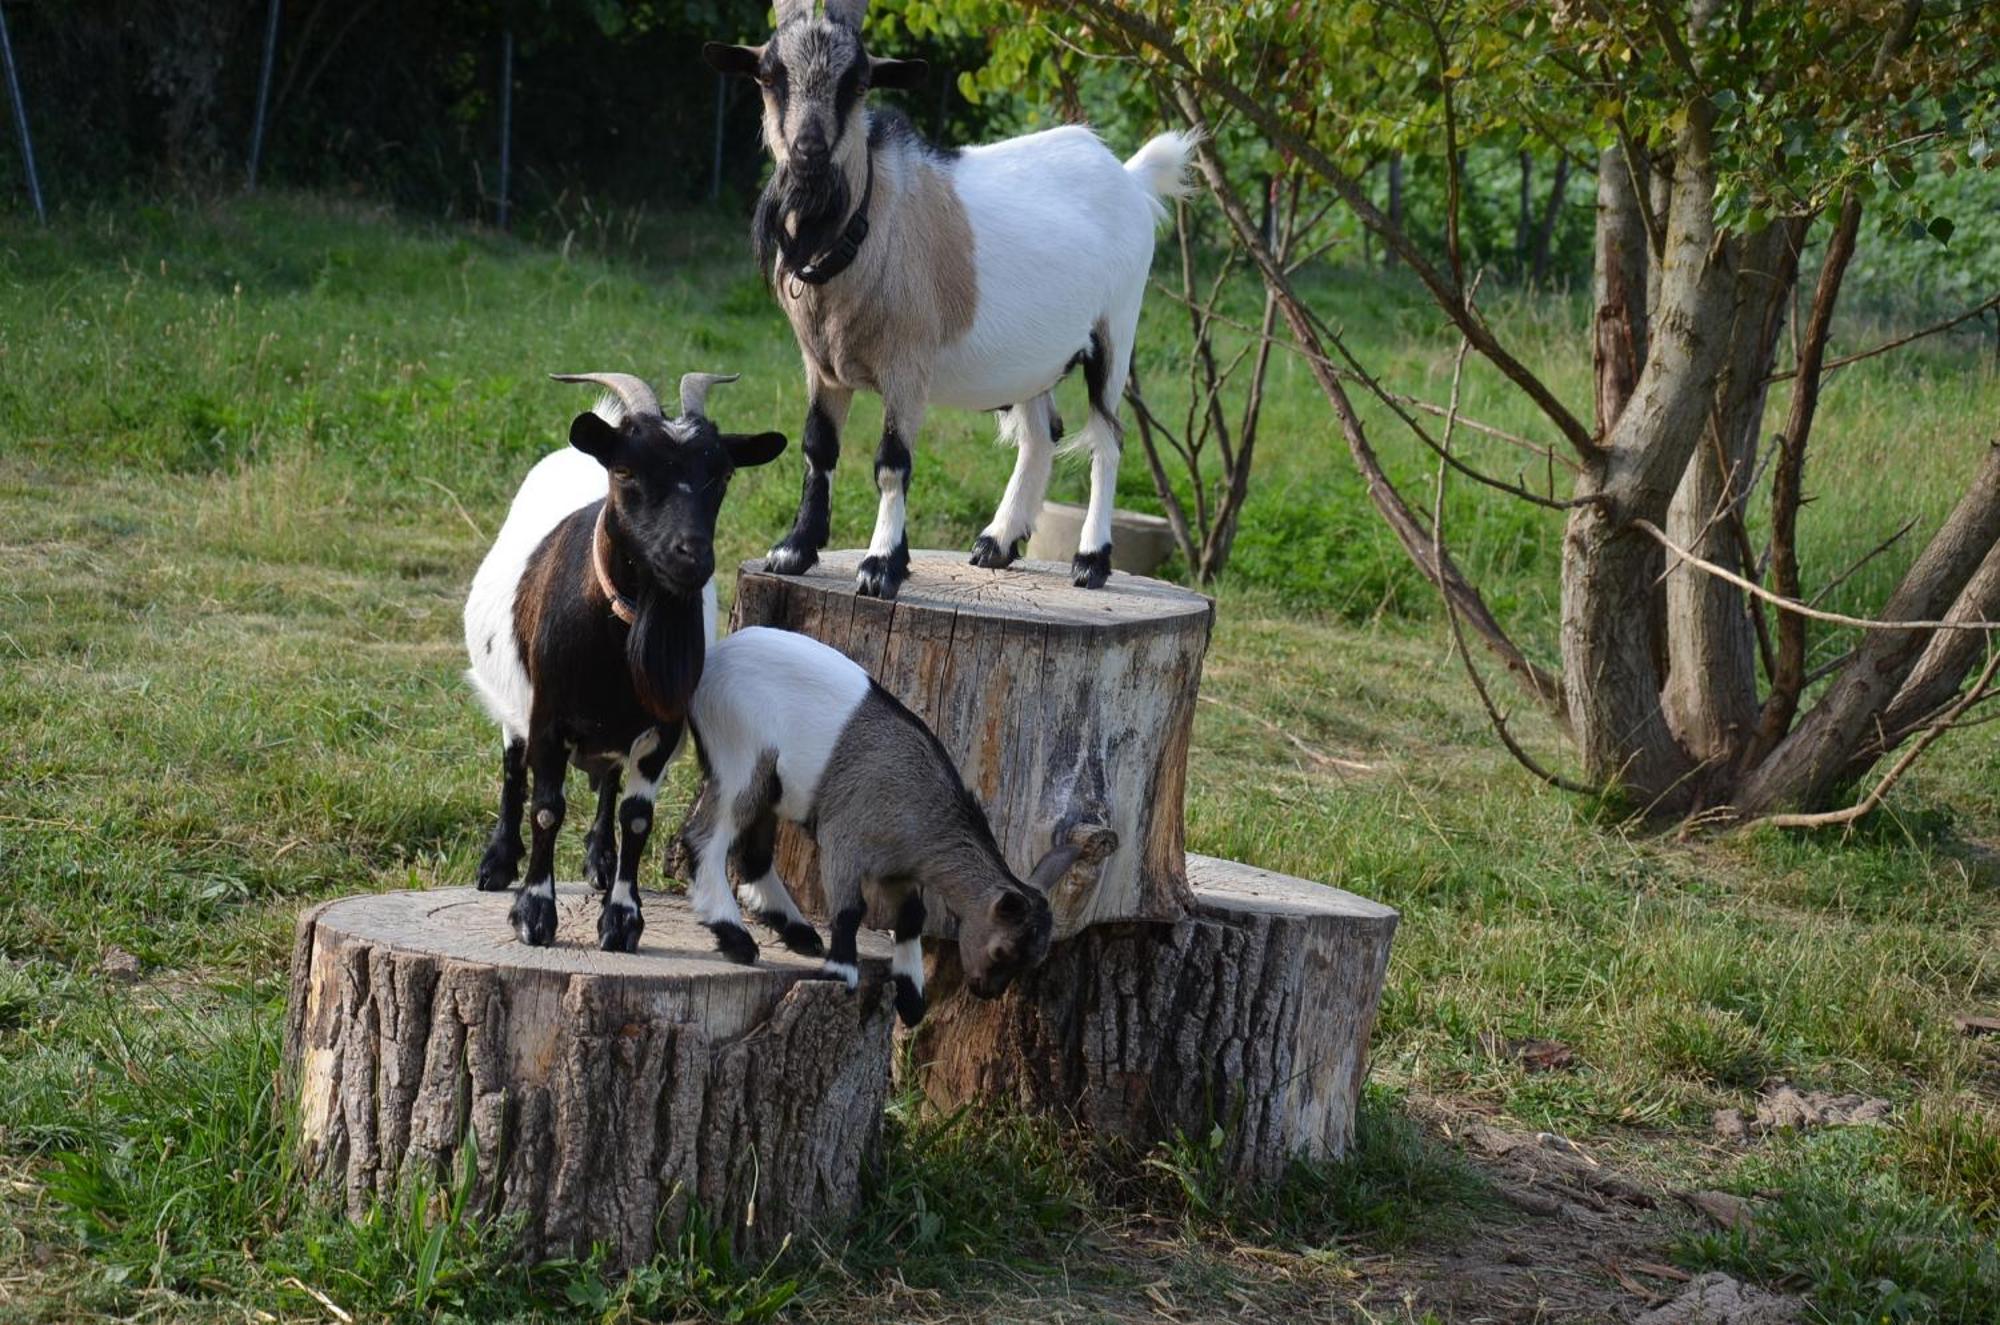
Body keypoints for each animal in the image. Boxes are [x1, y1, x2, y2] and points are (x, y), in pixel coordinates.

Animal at [464, 374, 784, 956]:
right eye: (626, 471)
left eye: (722, 473)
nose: (691, 555)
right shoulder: (548, 719)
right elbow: (546, 806)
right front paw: (533, 913)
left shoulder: (661, 730)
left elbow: (637, 818)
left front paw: (622, 920)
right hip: (513, 698)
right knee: (511, 764)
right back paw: (497, 863)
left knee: (609, 780)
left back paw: (599, 858)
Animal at [672, 628, 1088, 1032]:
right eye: (1001, 951)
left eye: (1030, 963)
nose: (985, 991)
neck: (922, 815)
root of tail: (717, 656)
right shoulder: (844, 840)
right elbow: (850, 910)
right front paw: (841, 973)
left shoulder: (898, 870)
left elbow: (912, 916)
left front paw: (911, 998)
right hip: (741, 756)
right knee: (704, 839)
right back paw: (737, 939)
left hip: (770, 786)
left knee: (753, 856)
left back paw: (798, 932)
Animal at [708, 0, 1192, 596]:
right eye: (770, 76)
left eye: (858, 82)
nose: (808, 154)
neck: (870, 224)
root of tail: (1129, 176)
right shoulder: (820, 366)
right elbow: (818, 447)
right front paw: (795, 549)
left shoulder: (907, 367)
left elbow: (892, 462)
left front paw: (881, 565)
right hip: (1033, 361)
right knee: (1042, 435)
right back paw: (997, 543)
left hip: (1116, 330)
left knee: (1108, 437)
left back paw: (1090, 561)